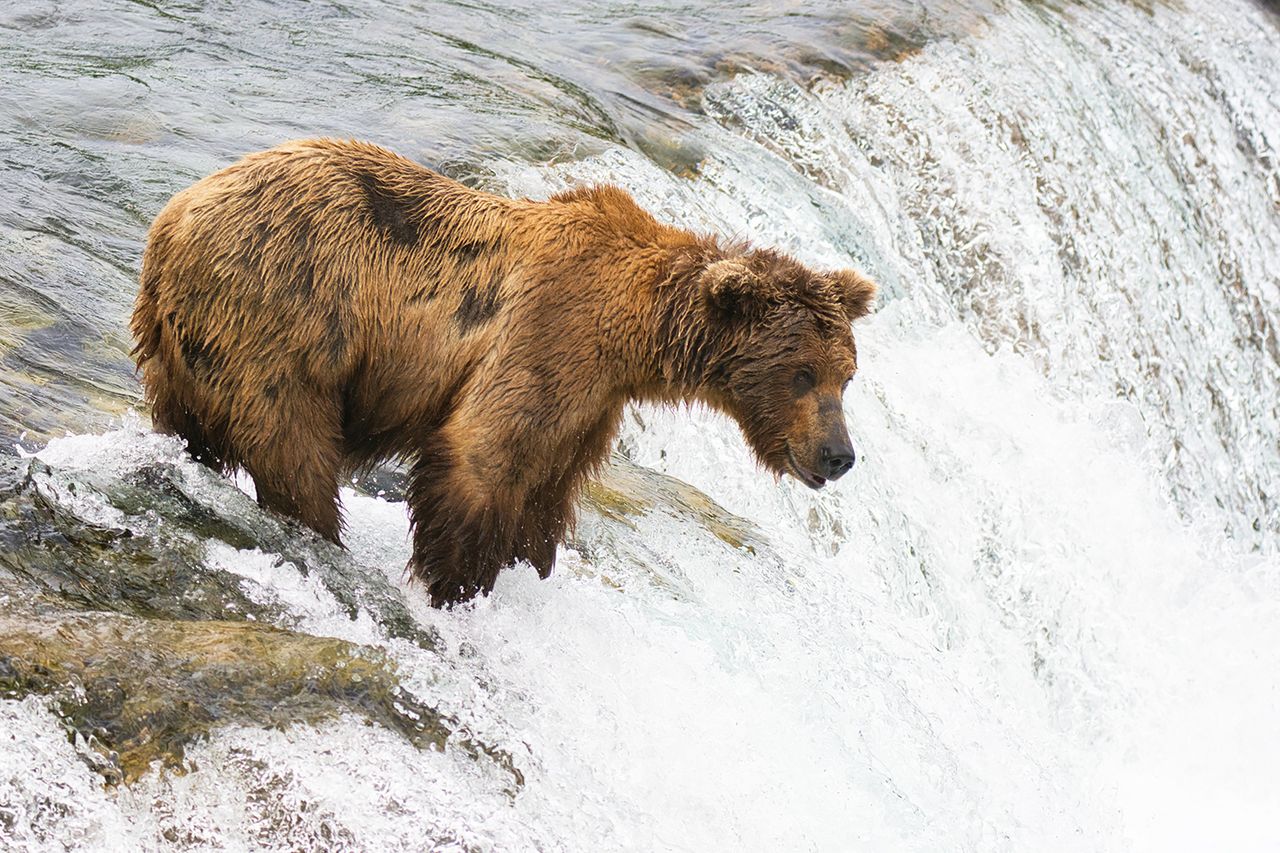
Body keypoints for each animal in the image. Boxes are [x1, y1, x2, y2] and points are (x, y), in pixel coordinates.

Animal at [132, 138, 876, 606]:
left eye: (845, 376)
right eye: (803, 374)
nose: (839, 455)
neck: (633, 331)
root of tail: (171, 221)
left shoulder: (593, 401)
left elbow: (549, 487)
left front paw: (530, 561)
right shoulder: (549, 333)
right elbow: (482, 456)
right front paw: (457, 583)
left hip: (183, 352)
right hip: (283, 319)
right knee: (294, 449)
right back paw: (319, 534)